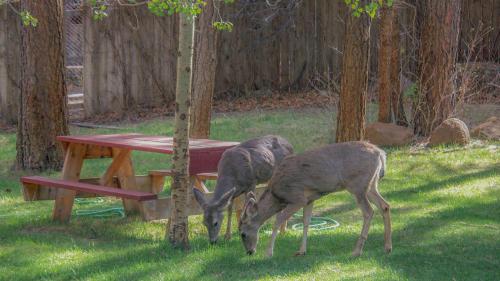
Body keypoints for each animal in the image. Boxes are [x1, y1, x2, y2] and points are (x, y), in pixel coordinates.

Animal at [238, 141, 390, 258]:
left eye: (243, 234)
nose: (249, 252)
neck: (277, 196)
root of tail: (380, 153)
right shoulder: (310, 198)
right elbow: (306, 222)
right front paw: (301, 251)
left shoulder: (297, 197)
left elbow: (278, 220)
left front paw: (268, 253)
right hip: (371, 184)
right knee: (385, 205)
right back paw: (387, 247)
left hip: (357, 184)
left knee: (369, 211)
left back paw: (357, 251)